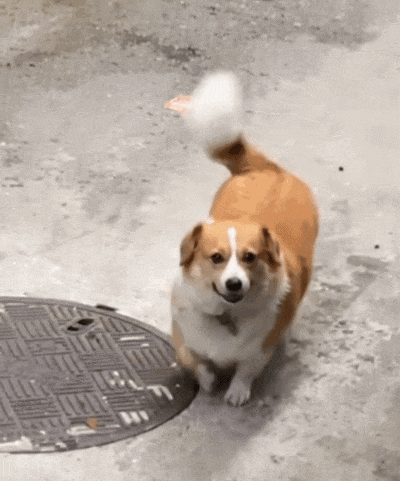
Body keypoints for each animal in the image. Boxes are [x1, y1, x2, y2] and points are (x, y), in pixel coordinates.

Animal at [170, 72, 319, 406]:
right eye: (216, 257)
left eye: (250, 257)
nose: (235, 283)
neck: (227, 313)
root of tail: (267, 168)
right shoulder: (183, 339)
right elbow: (196, 362)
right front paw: (208, 380)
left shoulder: (258, 351)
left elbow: (246, 370)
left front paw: (236, 391)